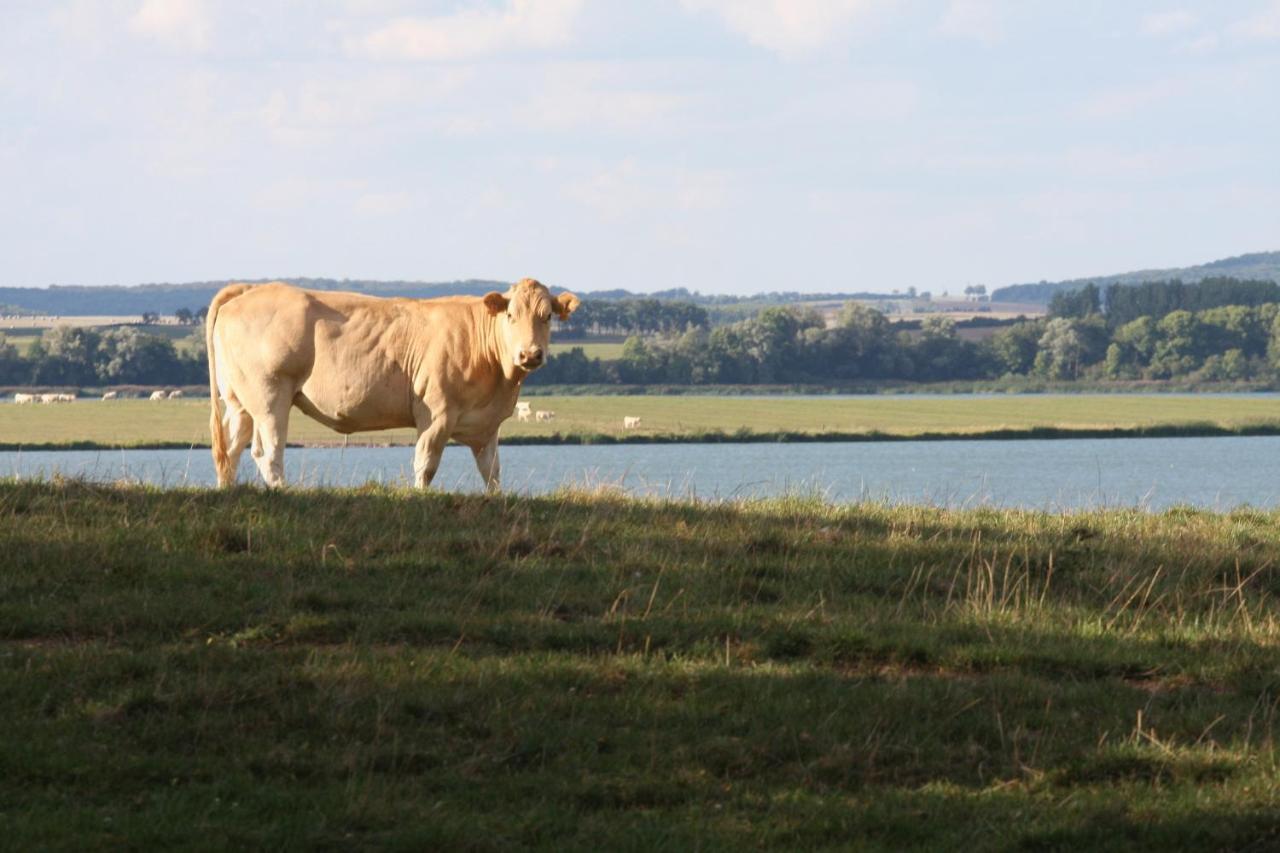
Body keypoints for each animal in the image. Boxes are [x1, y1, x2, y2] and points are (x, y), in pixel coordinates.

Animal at [206, 275, 581, 489]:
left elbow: (492, 471)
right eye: (511, 315)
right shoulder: (436, 414)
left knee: (231, 448)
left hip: (239, 400)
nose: (530, 354)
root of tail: (252, 288)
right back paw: (281, 491)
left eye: (547, 316)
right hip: (271, 396)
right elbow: (426, 463)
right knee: (267, 451)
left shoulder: (487, 425)